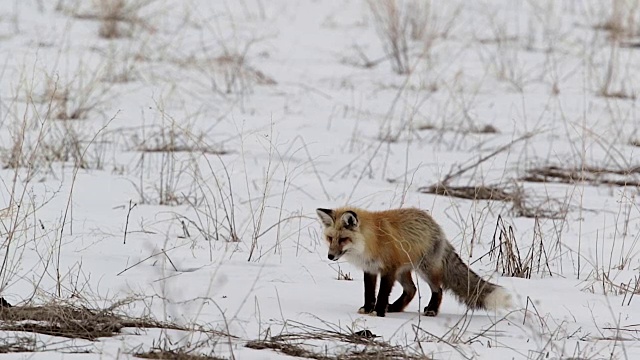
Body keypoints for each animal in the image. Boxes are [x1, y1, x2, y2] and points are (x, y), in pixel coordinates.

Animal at [318, 207, 512, 316]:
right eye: (330, 238)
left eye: (343, 239)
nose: (330, 256)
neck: (371, 241)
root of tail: (437, 227)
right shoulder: (371, 269)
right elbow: (369, 293)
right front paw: (368, 309)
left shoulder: (388, 269)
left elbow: (382, 294)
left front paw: (378, 312)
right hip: (403, 272)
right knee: (411, 290)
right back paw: (394, 307)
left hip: (424, 270)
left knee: (438, 289)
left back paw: (431, 310)